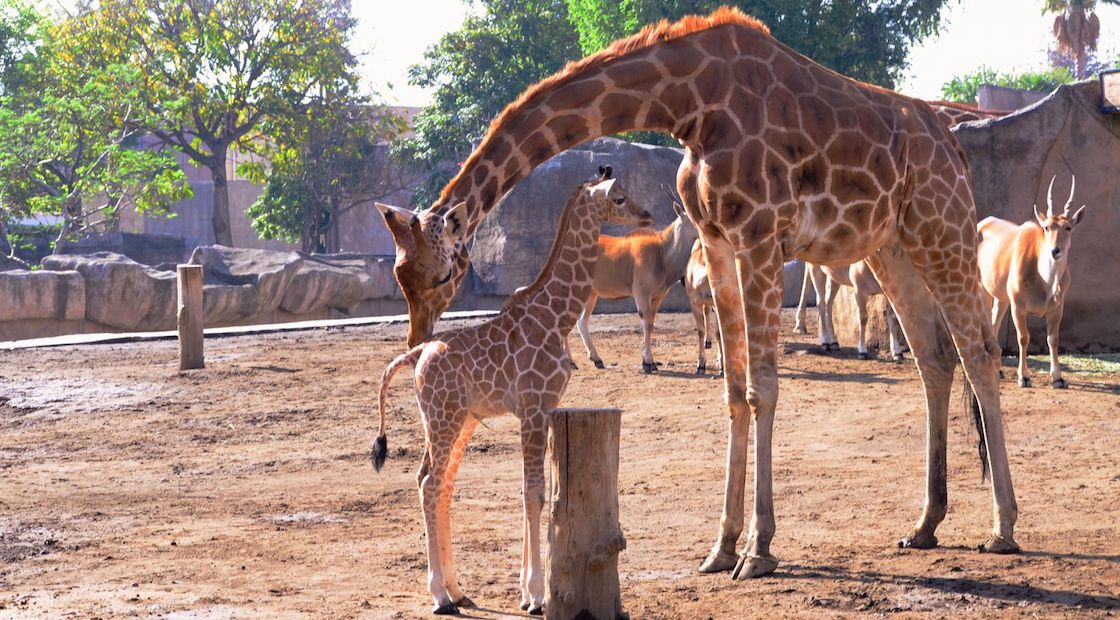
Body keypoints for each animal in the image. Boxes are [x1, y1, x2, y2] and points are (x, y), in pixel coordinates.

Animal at [582, 188, 694, 371]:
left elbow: (651, 322)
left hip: (591, 294)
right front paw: (647, 362)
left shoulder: (658, 297)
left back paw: (595, 359)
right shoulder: (641, 293)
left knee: (581, 321)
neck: (661, 251)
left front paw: (651, 361)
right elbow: (647, 322)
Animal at [680, 236, 725, 371]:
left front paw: (721, 365)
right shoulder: (694, 304)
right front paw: (700, 365)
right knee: (706, 312)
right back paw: (707, 342)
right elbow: (700, 331)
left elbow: (719, 333)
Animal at [981, 173, 1084, 384]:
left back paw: (999, 370)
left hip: (1001, 298)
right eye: (1046, 227)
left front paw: (1058, 378)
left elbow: (1053, 339)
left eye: (1068, 227)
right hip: (981, 288)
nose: (1055, 250)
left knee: (994, 324)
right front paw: (1024, 376)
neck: (1045, 282)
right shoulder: (1018, 307)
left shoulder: (1057, 308)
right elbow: (1023, 337)